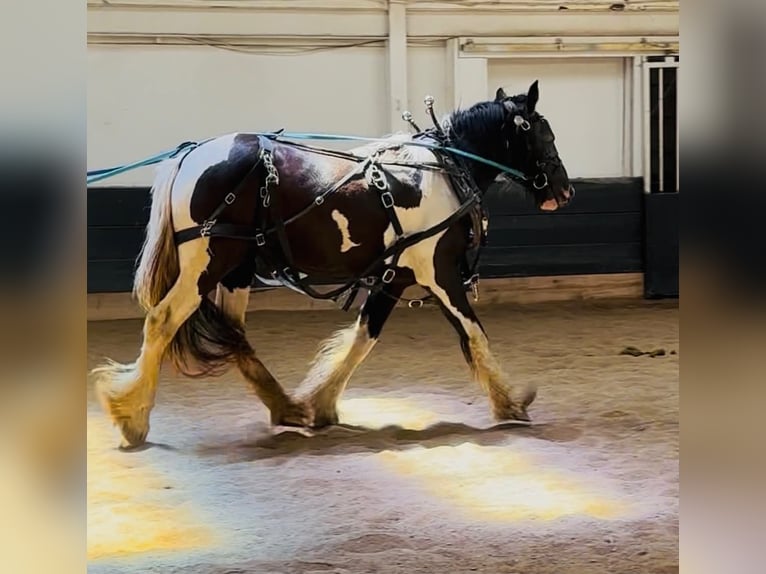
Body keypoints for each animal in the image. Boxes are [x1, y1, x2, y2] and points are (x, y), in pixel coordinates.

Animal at [91, 80, 573, 448]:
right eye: (545, 134)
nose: (565, 190)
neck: (444, 170)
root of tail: (191, 155)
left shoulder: (393, 278)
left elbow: (363, 338)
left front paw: (320, 403)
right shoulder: (438, 272)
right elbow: (473, 334)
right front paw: (510, 401)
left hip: (236, 270)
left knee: (236, 338)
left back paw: (287, 406)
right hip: (206, 266)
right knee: (163, 321)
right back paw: (131, 415)